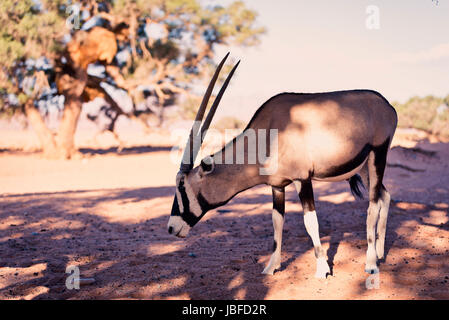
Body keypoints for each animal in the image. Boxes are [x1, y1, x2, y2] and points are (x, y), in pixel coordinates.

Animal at [167, 52, 396, 278]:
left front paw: (322, 269)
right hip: (364, 166)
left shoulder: (302, 179)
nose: (171, 228)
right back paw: (380, 252)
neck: (268, 135)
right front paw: (271, 267)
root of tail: (388, 106)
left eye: (182, 187)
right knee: (384, 196)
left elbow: (310, 221)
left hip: (378, 155)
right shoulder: (277, 185)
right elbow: (277, 222)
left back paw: (371, 263)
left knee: (373, 205)